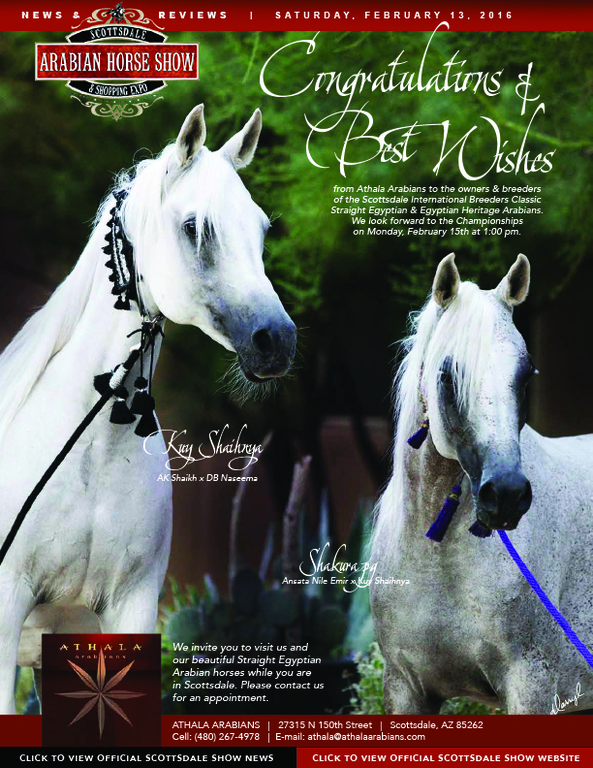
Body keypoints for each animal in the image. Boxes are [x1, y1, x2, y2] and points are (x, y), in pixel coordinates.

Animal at [370, 254, 593, 714]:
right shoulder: (404, 687)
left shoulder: (531, 686)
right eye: (448, 375)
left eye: (526, 374)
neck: (435, 558)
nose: (506, 495)